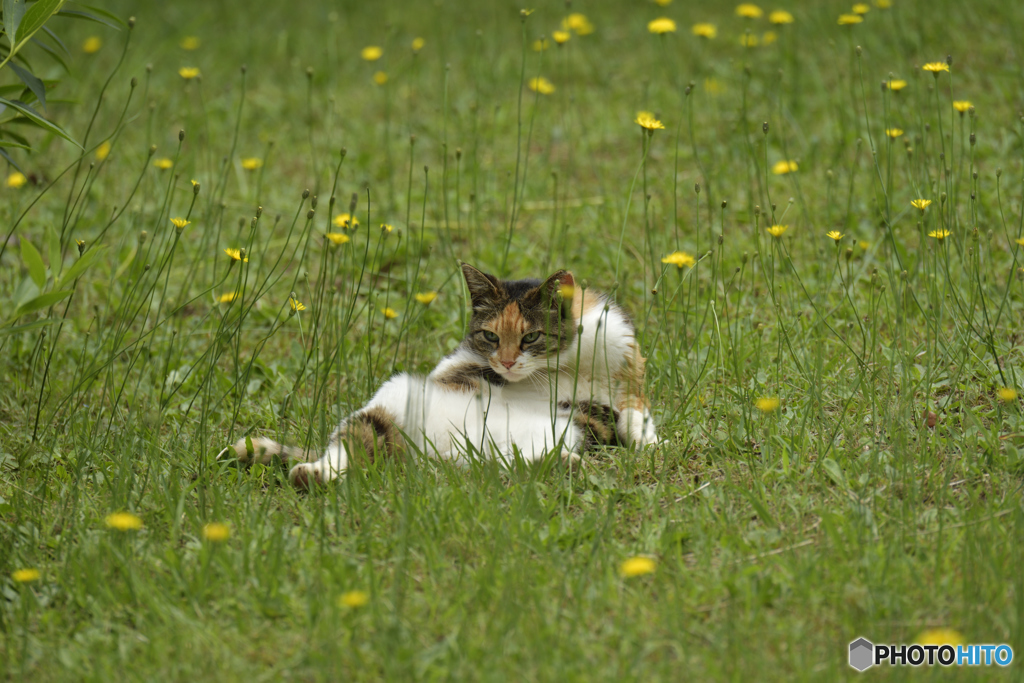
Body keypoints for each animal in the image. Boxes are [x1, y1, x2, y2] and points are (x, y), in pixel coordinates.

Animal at [221, 264, 659, 489]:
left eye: (531, 336)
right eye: (490, 336)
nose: (506, 364)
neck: (564, 363)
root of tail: (429, 458)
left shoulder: (625, 368)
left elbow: (635, 413)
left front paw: (650, 443)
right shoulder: (456, 365)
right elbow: (463, 368)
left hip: (533, 445)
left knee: (519, 465)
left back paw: (567, 464)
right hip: (391, 401)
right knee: (348, 450)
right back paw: (311, 474)